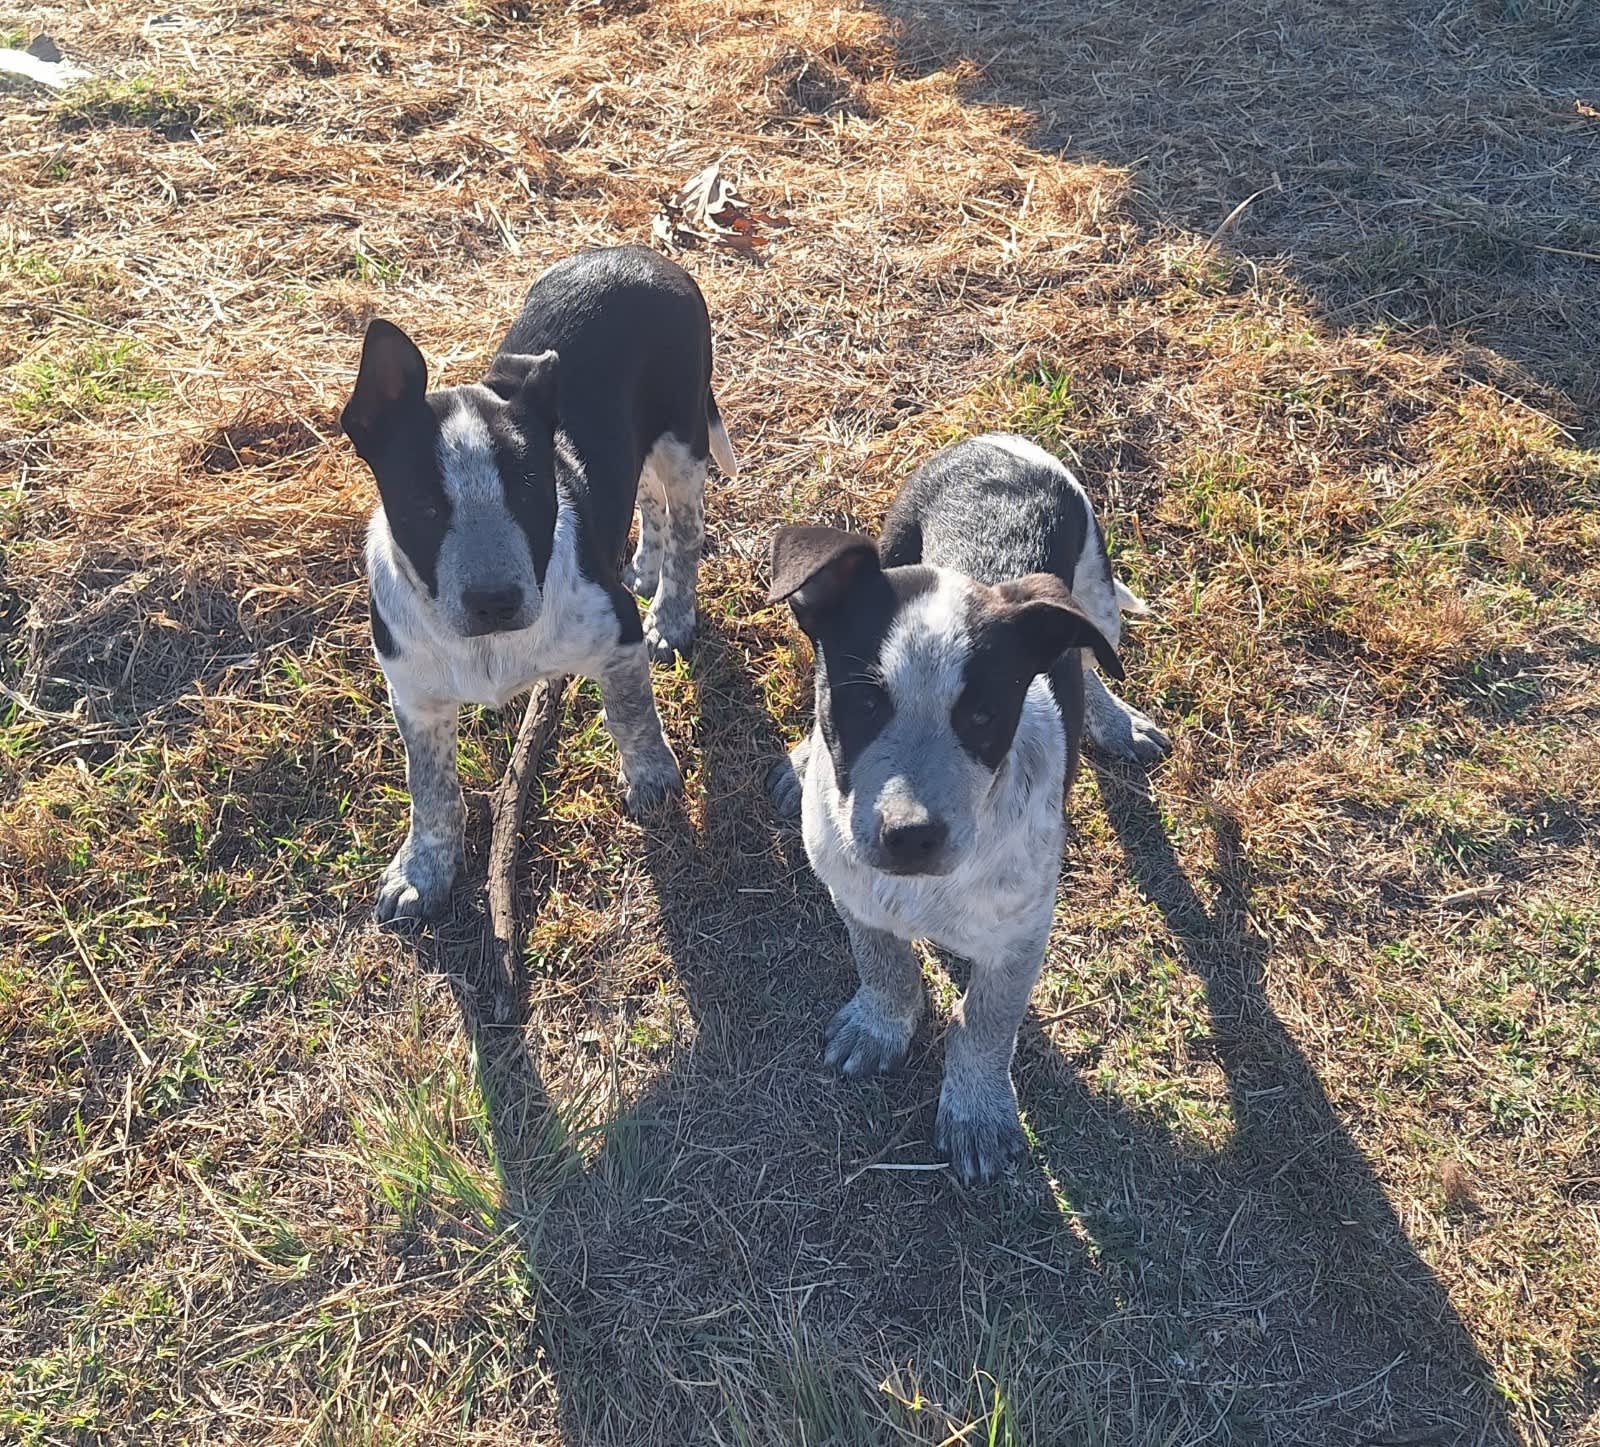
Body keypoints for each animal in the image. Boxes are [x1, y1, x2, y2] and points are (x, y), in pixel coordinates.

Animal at [344, 246, 736, 928]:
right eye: (424, 505)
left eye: (530, 490)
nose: (495, 601)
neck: (487, 646)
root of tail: (641, 254)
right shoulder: (414, 693)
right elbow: (431, 788)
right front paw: (422, 871)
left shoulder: (616, 635)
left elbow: (631, 712)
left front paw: (652, 779)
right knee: (642, 494)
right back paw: (643, 565)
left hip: (683, 438)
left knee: (685, 526)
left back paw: (671, 613)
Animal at [768, 435, 1171, 1184]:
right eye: (862, 703)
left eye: (983, 716)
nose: (910, 836)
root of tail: (995, 442)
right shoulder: (854, 888)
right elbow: (882, 961)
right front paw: (881, 1024)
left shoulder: (1020, 937)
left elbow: (984, 1023)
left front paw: (977, 1113)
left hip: (1095, 595)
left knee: (1094, 659)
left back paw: (1115, 720)